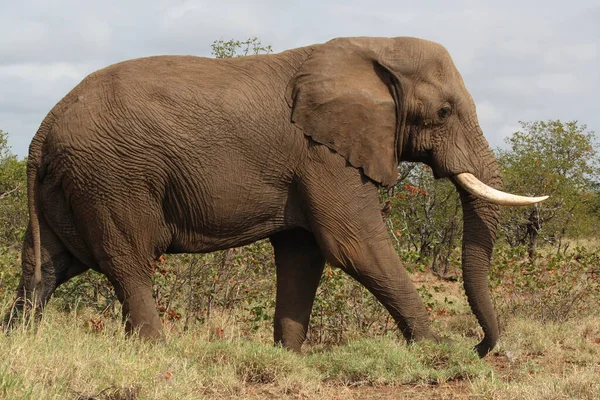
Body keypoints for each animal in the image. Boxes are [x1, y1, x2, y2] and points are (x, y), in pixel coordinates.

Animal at [9, 36, 548, 356]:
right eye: (443, 112)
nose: (482, 348)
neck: (371, 49)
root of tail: (42, 131)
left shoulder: (310, 161)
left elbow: (303, 253)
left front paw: (289, 355)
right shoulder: (322, 154)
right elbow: (354, 246)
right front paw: (436, 351)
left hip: (72, 186)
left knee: (46, 267)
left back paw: (18, 343)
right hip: (112, 178)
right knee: (129, 262)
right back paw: (156, 352)